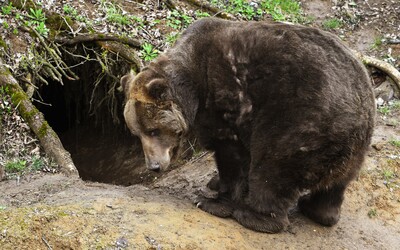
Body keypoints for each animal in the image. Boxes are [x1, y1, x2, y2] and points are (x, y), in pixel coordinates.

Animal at [121, 18, 376, 234]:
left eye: (153, 130)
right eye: (136, 133)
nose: (154, 166)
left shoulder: (226, 101)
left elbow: (232, 155)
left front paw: (212, 200)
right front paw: (214, 183)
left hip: (299, 125)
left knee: (271, 169)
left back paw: (253, 216)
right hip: (351, 147)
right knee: (336, 184)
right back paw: (318, 210)